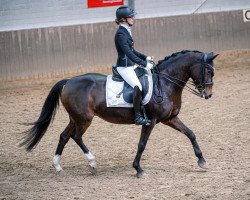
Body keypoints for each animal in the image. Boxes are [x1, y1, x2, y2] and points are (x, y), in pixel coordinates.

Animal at [20, 49, 218, 177]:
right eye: (208, 70)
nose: (208, 95)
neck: (165, 83)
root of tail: (68, 81)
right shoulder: (151, 121)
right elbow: (142, 144)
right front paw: (138, 169)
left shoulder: (170, 118)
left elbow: (190, 133)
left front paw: (202, 160)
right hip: (84, 119)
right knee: (76, 136)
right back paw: (92, 162)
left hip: (75, 118)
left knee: (64, 136)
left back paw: (58, 167)